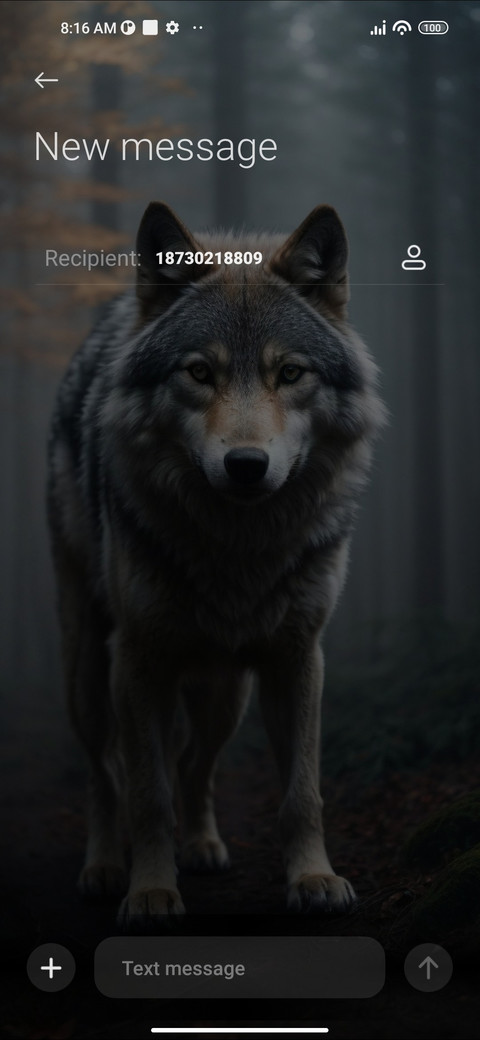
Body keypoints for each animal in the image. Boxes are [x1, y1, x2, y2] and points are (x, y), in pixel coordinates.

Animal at [47, 202, 385, 928]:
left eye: (290, 373)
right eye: (200, 373)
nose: (246, 465)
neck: (237, 550)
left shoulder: (297, 656)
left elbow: (302, 792)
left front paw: (314, 878)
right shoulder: (137, 660)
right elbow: (145, 793)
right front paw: (150, 891)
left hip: (226, 693)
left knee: (193, 764)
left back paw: (201, 844)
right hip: (87, 670)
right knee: (104, 773)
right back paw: (103, 866)